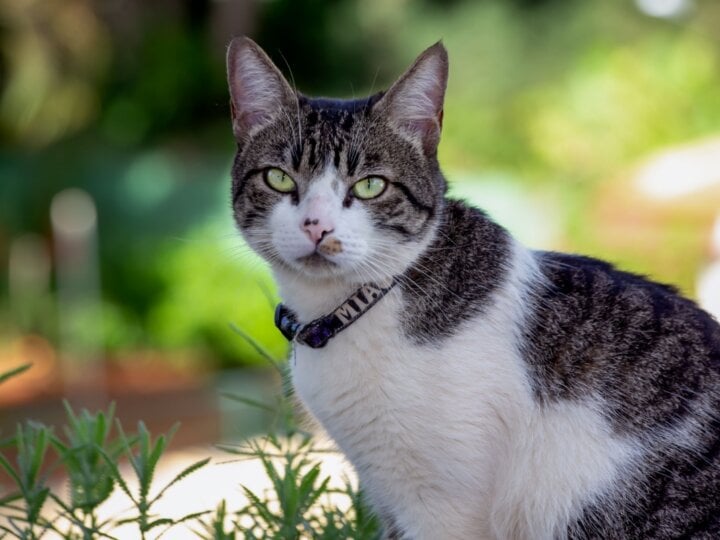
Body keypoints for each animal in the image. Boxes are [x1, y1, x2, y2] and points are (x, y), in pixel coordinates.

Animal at [225, 38, 720, 540]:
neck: (349, 309)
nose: (316, 226)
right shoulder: (388, 496)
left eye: (370, 186)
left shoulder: (441, 508)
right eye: (279, 178)